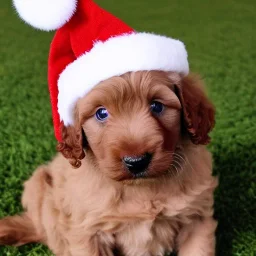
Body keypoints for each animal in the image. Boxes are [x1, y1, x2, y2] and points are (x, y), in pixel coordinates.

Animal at [0, 70, 218, 256]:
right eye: (101, 113)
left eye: (157, 106)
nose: (136, 162)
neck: (140, 187)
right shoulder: (88, 231)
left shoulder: (196, 219)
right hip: (37, 185)